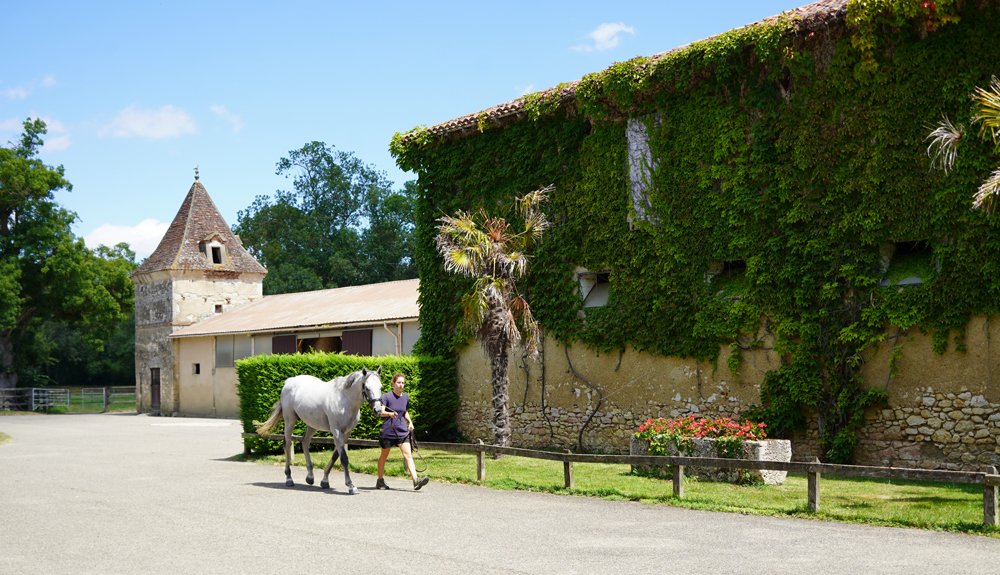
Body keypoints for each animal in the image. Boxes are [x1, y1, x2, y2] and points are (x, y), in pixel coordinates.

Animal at [256, 367, 384, 494]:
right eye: (366, 387)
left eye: (380, 387)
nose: (378, 410)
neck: (344, 400)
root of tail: (289, 382)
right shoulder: (337, 431)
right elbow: (343, 458)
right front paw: (351, 486)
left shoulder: (347, 433)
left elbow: (335, 455)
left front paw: (324, 481)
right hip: (290, 421)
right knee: (287, 444)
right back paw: (289, 479)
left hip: (312, 424)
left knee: (305, 441)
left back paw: (310, 477)